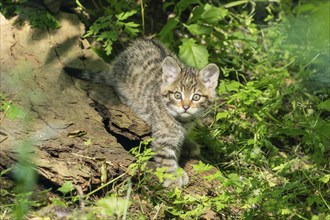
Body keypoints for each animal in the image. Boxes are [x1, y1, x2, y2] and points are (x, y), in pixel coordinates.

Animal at [63, 38, 220, 186]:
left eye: (196, 97)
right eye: (177, 95)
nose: (185, 107)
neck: (183, 121)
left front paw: (185, 150)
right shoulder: (162, 139)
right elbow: (167, 159)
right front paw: (173, 178)